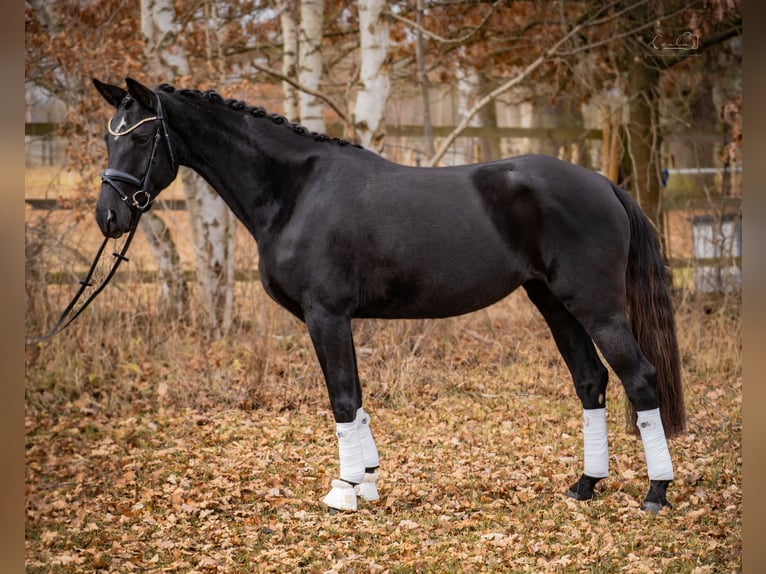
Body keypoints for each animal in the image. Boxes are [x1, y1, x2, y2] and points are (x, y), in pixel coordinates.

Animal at [92, 77, 686, 513]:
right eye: (108, 137)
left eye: (141, 138)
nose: (109, 217)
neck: (296, 191)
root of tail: (603, 183)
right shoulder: (335, 319)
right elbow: (356, 397)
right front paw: (368, 481)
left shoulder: (326, 315)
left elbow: (342, 397)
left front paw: (343, 491)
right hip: (554, 304)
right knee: (591, 381)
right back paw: (585, 485)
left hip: (596, 306)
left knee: (639, 378)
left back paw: (656, 493)